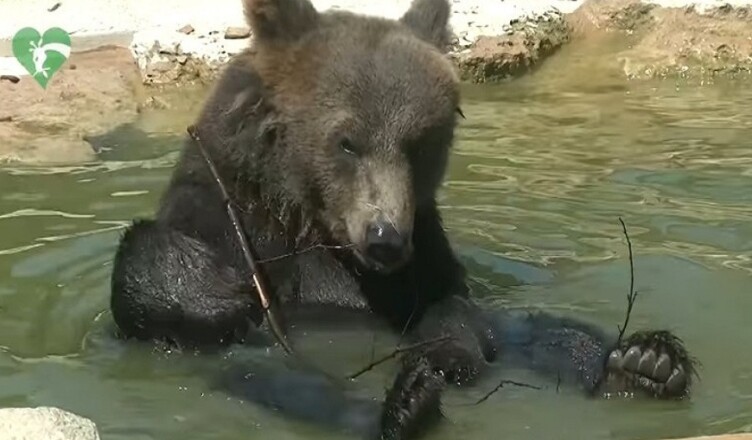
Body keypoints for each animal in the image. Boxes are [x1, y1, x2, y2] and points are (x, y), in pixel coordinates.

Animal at [109, 0, 698, 438]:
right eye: (347, 141)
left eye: (421, 142)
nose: (385, 238)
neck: (308, 219)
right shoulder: (232, 225)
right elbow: (172, 292)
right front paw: (206, 291)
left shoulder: (427, 256)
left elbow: (455, 308)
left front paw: (450, 350)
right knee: (289, 385)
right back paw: (406, 407)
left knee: (546, 332)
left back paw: (645, 362)